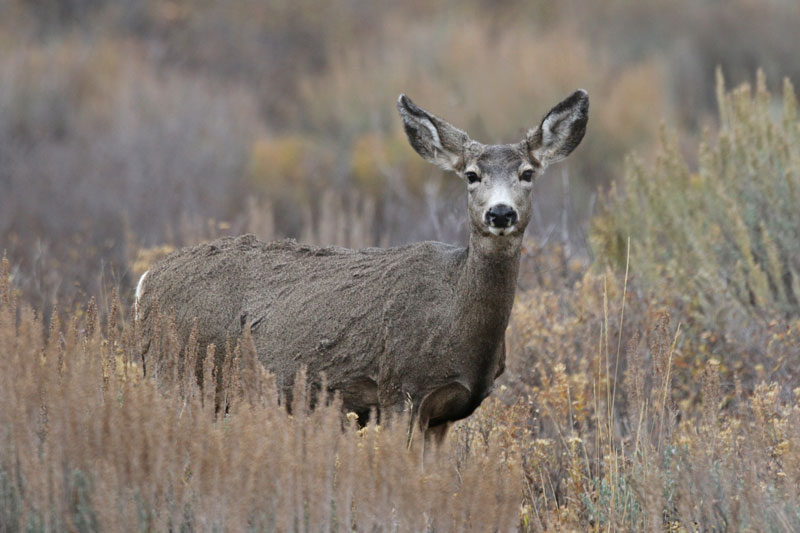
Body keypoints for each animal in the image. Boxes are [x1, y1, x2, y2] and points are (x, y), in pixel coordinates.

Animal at [136, 90, 588, 440]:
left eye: (527, 173)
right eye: (472, 175)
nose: (500, 213)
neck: (457, 319)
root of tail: (145, 282)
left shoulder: (443, 415)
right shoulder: (399, 390)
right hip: (179, 373)